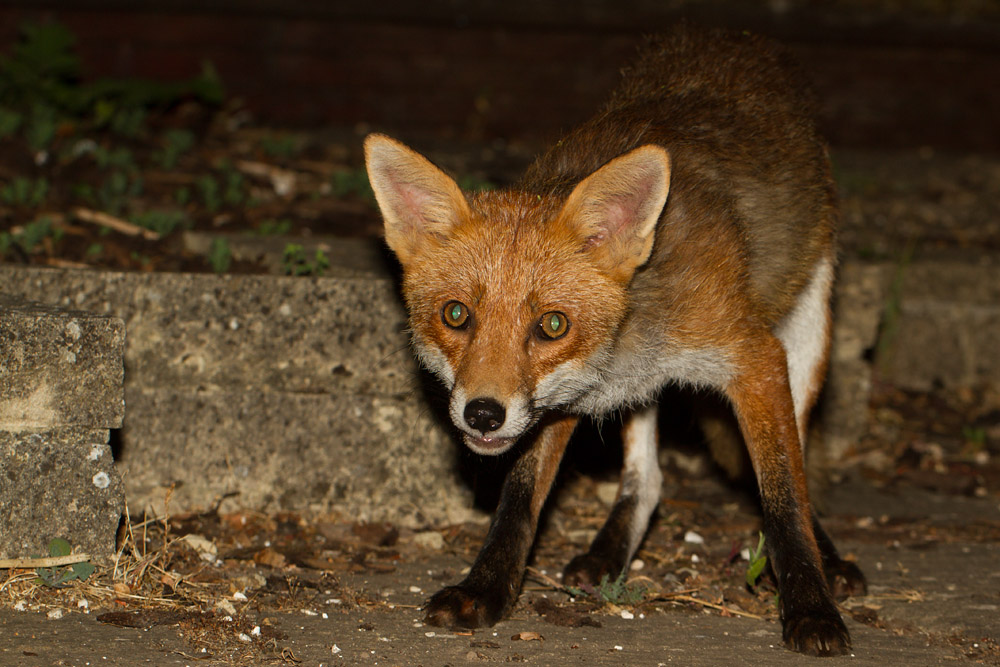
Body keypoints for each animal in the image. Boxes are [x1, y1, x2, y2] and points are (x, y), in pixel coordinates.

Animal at [364, 25, 867, 656]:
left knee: (797, 464)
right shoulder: (559, 403)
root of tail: (733, 38)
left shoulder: (752, 357)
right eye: (456, 315)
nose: (482, 414)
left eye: (552, 325)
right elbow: (518, 501)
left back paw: (831, 560)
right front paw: (486, 590)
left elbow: (782, 495)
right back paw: (608, 552)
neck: (620, 344)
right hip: (641, 397)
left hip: (810, 326)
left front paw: (811, 607)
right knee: (646, 482)